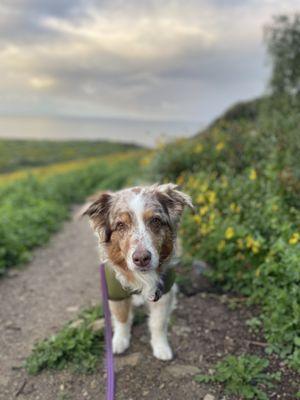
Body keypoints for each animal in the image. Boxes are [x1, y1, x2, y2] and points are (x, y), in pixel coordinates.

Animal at [83, 183, 193, 360]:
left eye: (155, 220)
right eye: (120, 225)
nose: (141, 259)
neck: (142, 277)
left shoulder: (164, 291)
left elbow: (158, 323)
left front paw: (161, 347)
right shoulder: (115, 293)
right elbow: (121, 318)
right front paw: (119, 341)